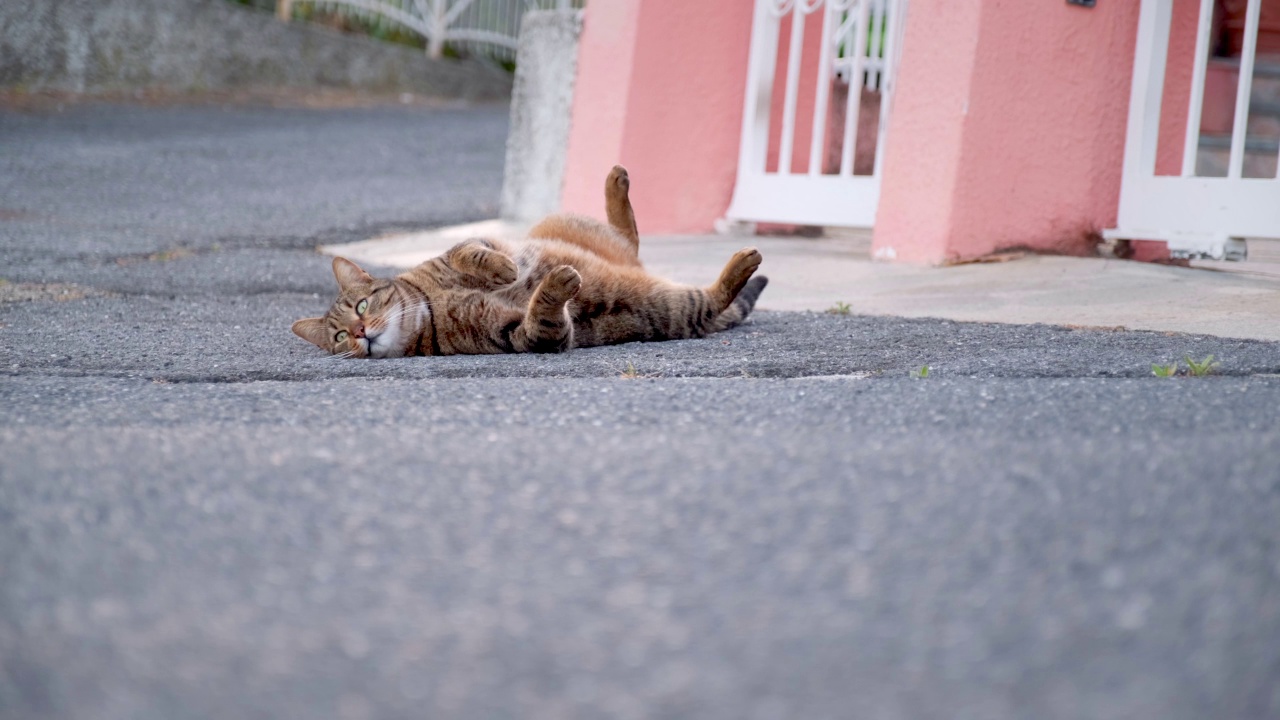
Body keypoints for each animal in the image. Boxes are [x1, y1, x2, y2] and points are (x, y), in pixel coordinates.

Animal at [290, 165, 762, 356]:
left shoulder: (468, 246)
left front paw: (505, 270)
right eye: (338, 338)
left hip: (562, 223)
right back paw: (744, 262)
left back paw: (616, 181)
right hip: (675, 312)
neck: (431, 310)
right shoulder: (521, 336)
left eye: (362, 306)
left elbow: (467, 251)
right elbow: (543, 315)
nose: (359, 333)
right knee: (709, 297)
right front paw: (554, 285)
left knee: (627, 236)